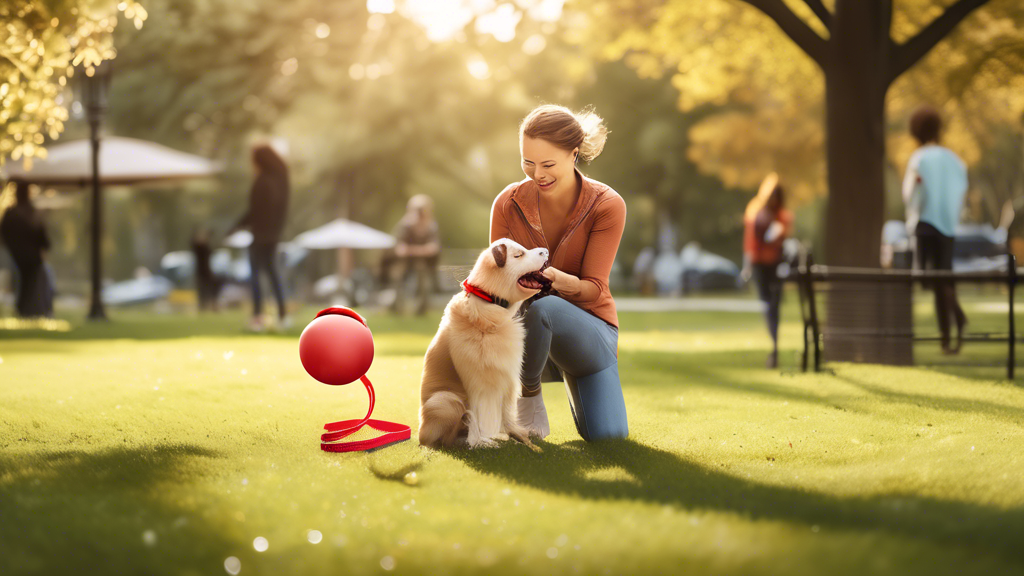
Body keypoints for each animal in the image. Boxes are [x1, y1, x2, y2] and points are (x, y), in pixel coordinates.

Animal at [419, 237, 552, 448]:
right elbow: (478, 416)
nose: (546, 251)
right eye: (519, 254)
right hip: (445, 400)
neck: (490, 303)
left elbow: (507, 412)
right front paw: (481, 441)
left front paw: (516, 435)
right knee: (442, 439)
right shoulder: (476, 383)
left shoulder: (507, 377)